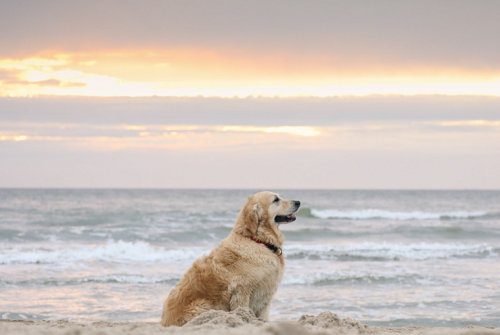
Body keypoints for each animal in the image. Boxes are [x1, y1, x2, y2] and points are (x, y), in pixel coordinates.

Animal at [161, 192, 300, 328]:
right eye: (276, 200)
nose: (298, 202)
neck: (257, 240)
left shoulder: (265, 297)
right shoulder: (242, 291)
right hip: (203, 305)